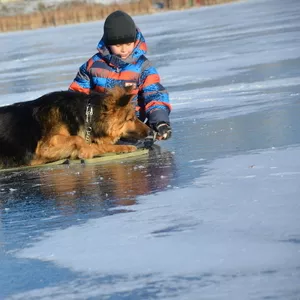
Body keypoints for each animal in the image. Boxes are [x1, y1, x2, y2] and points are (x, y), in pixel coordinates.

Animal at [0, 85, 150, 169]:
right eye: (131, 119)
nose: (151, 131)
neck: (88, 115)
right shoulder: (44, 146)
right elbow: (79, 139)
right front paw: (85, 152)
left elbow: (100, 146)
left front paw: (125, 148)